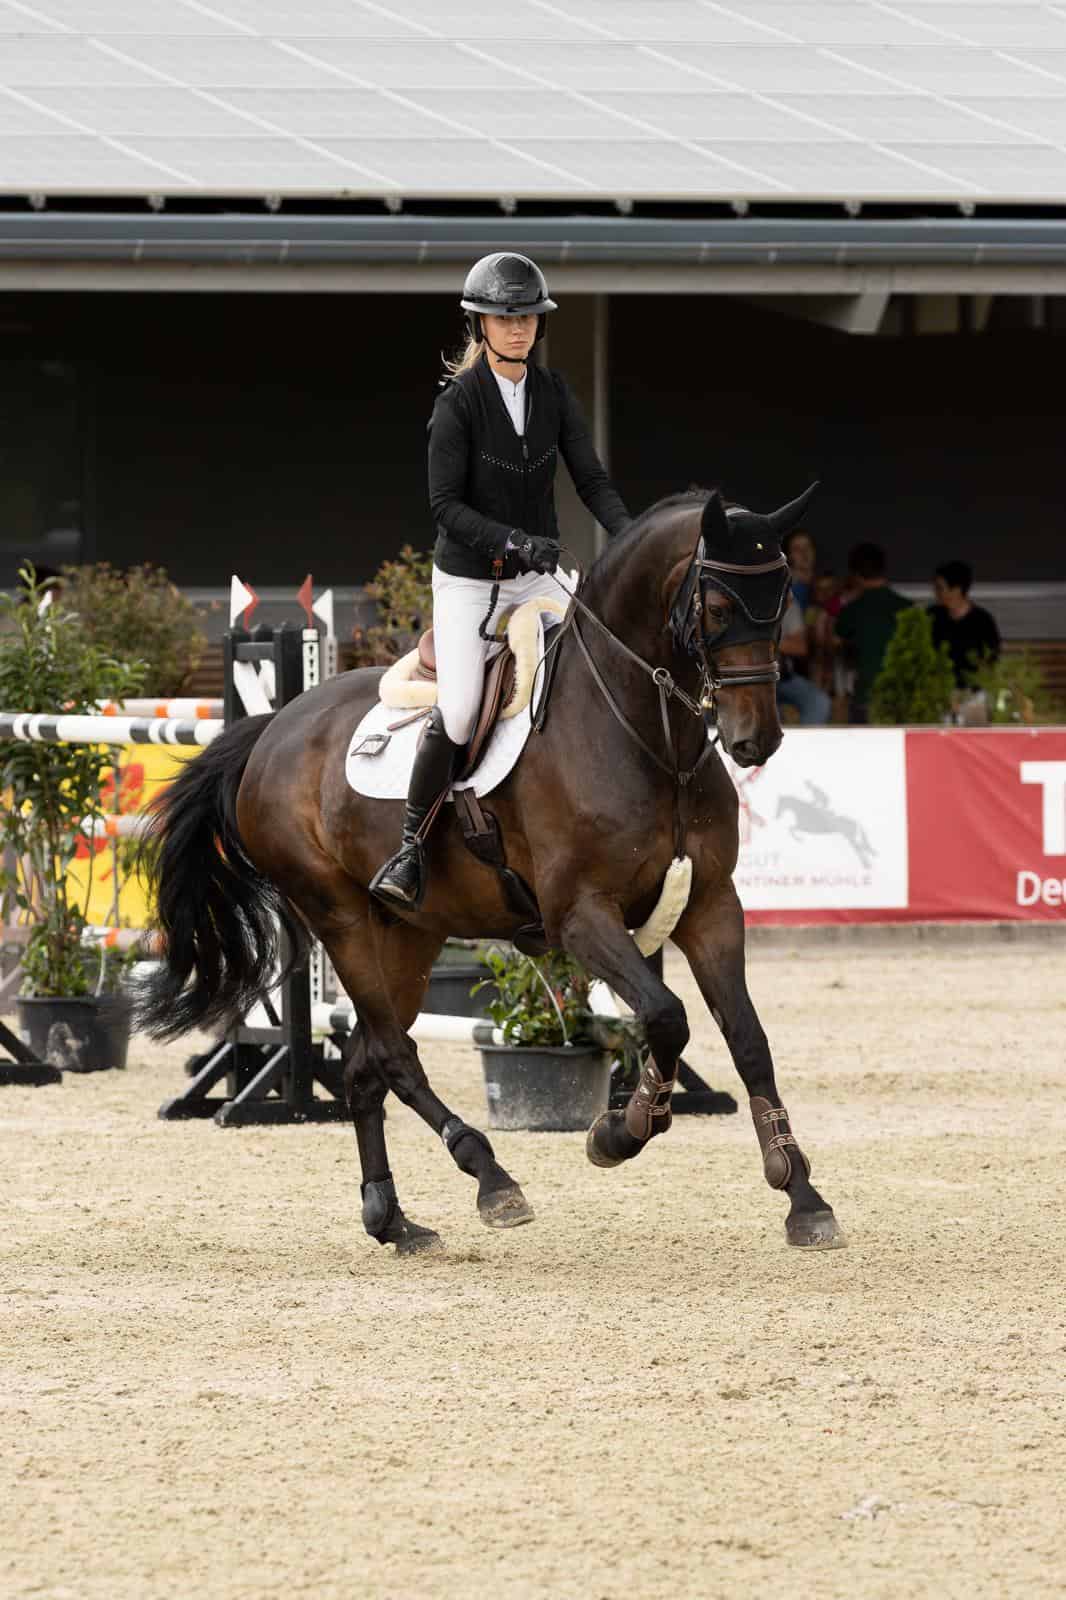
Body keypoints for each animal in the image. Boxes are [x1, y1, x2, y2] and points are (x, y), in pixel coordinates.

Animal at [136, 487, 844, 1255]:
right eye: (716, 608)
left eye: (779, 601)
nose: (756, 740)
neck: (647, 731)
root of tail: (274, 727)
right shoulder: (580, 915)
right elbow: (664, 1015)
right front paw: (620, 1131)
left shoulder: (709, 906)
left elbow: (743, 1038)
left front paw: (803, 1198)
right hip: (341, 919)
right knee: (395, 1055)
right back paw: (491, 1179)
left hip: (408, 935)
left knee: (364, 1065)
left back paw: (393, 1219)